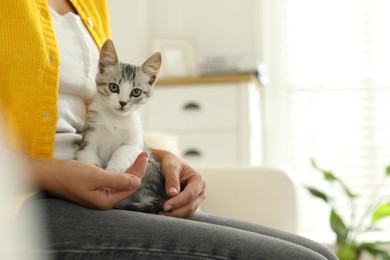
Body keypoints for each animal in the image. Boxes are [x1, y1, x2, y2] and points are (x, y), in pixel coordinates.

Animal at [76, 39, 168, 213]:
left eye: (136, 92)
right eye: (113, 87)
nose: (123, 103)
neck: (114, 119)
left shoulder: (135, 143)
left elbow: (124, 150)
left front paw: (115, 169)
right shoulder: (89, 136)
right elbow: (87, 155)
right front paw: (96, 172)